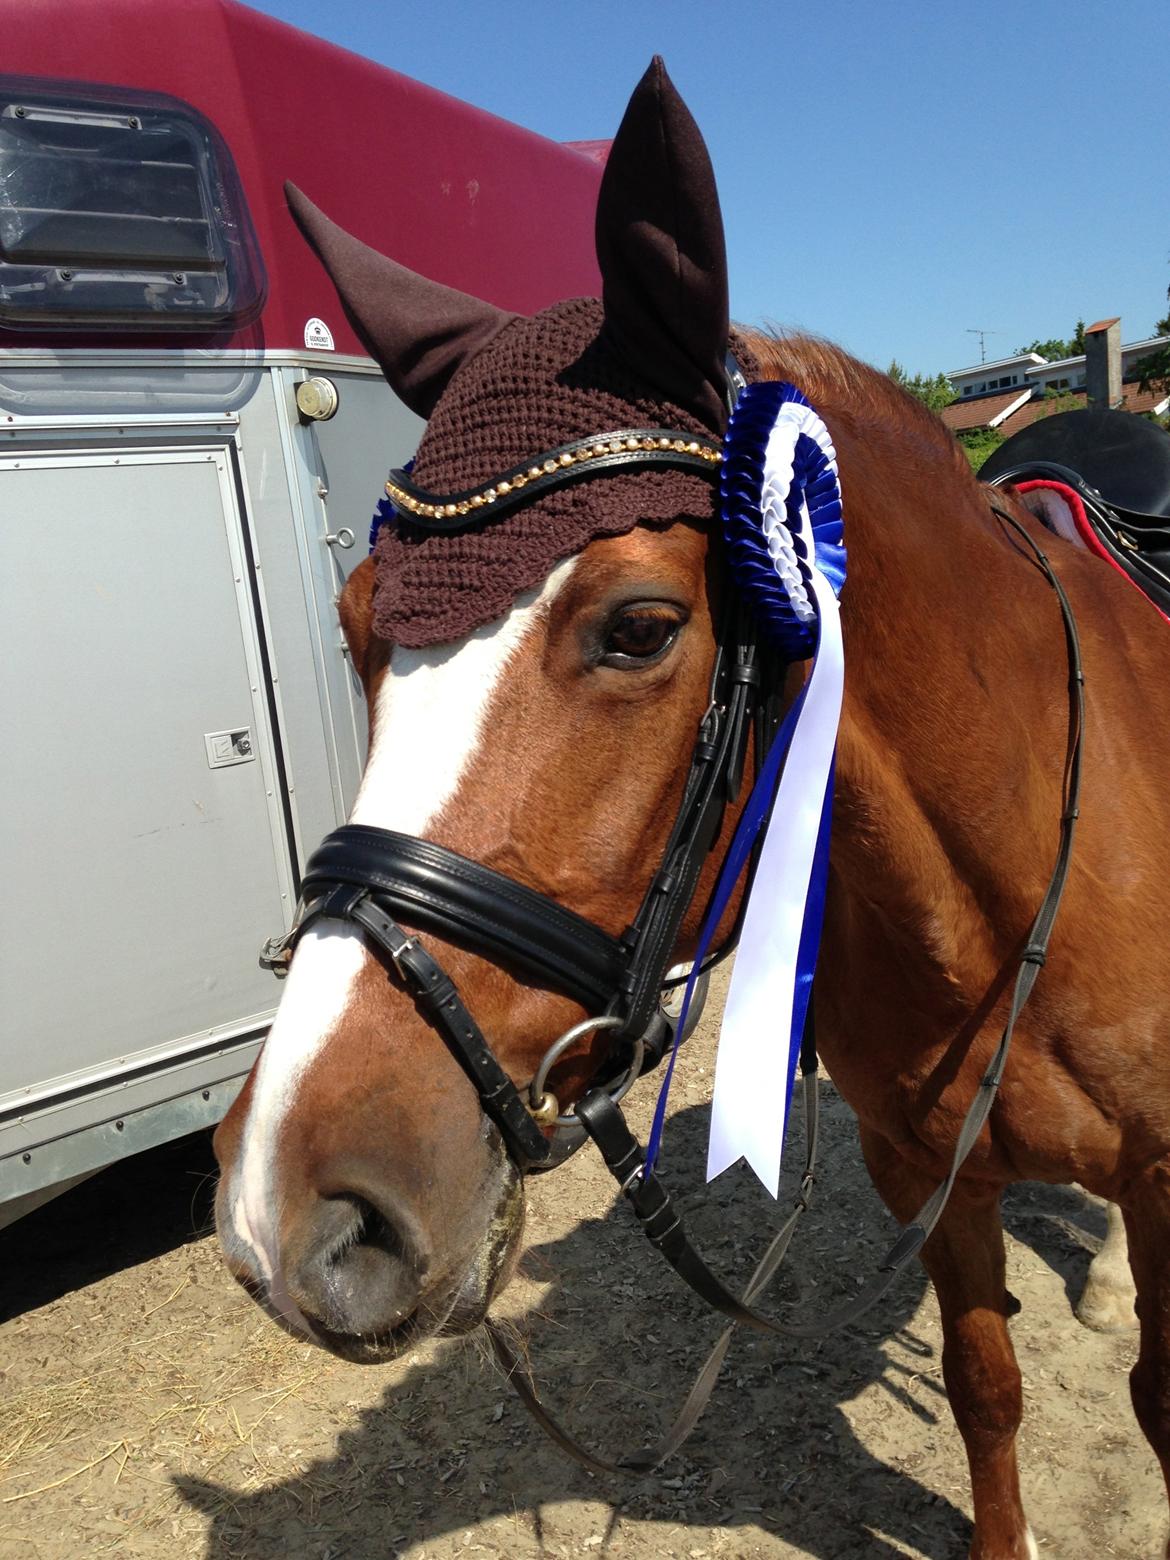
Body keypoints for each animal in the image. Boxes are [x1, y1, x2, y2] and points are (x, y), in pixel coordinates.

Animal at [213, 60, 1170, 1559]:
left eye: (642, 627)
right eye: (359, 625)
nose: (285, 1211)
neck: (1011, 893)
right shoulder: (924, 1175)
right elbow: (986, 1387)